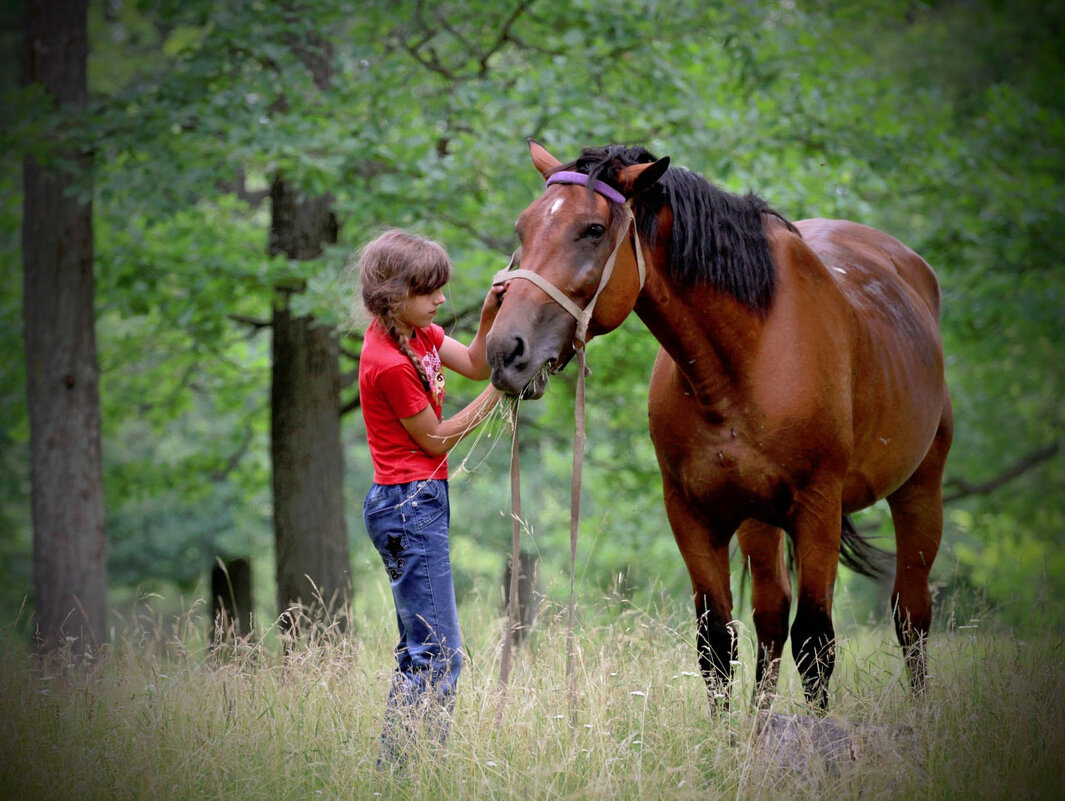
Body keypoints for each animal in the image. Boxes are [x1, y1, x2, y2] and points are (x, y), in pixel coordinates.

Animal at [487, 140, 954, 711]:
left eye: (592, 230)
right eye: (524, 227)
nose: (506, 350)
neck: (747, 356)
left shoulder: (818, 508)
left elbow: (816, 644)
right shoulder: (693, 514)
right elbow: (716, 644)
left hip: (918, 490)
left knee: (910, 614)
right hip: (758, 517)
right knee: (772, 616)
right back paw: (760, 722)